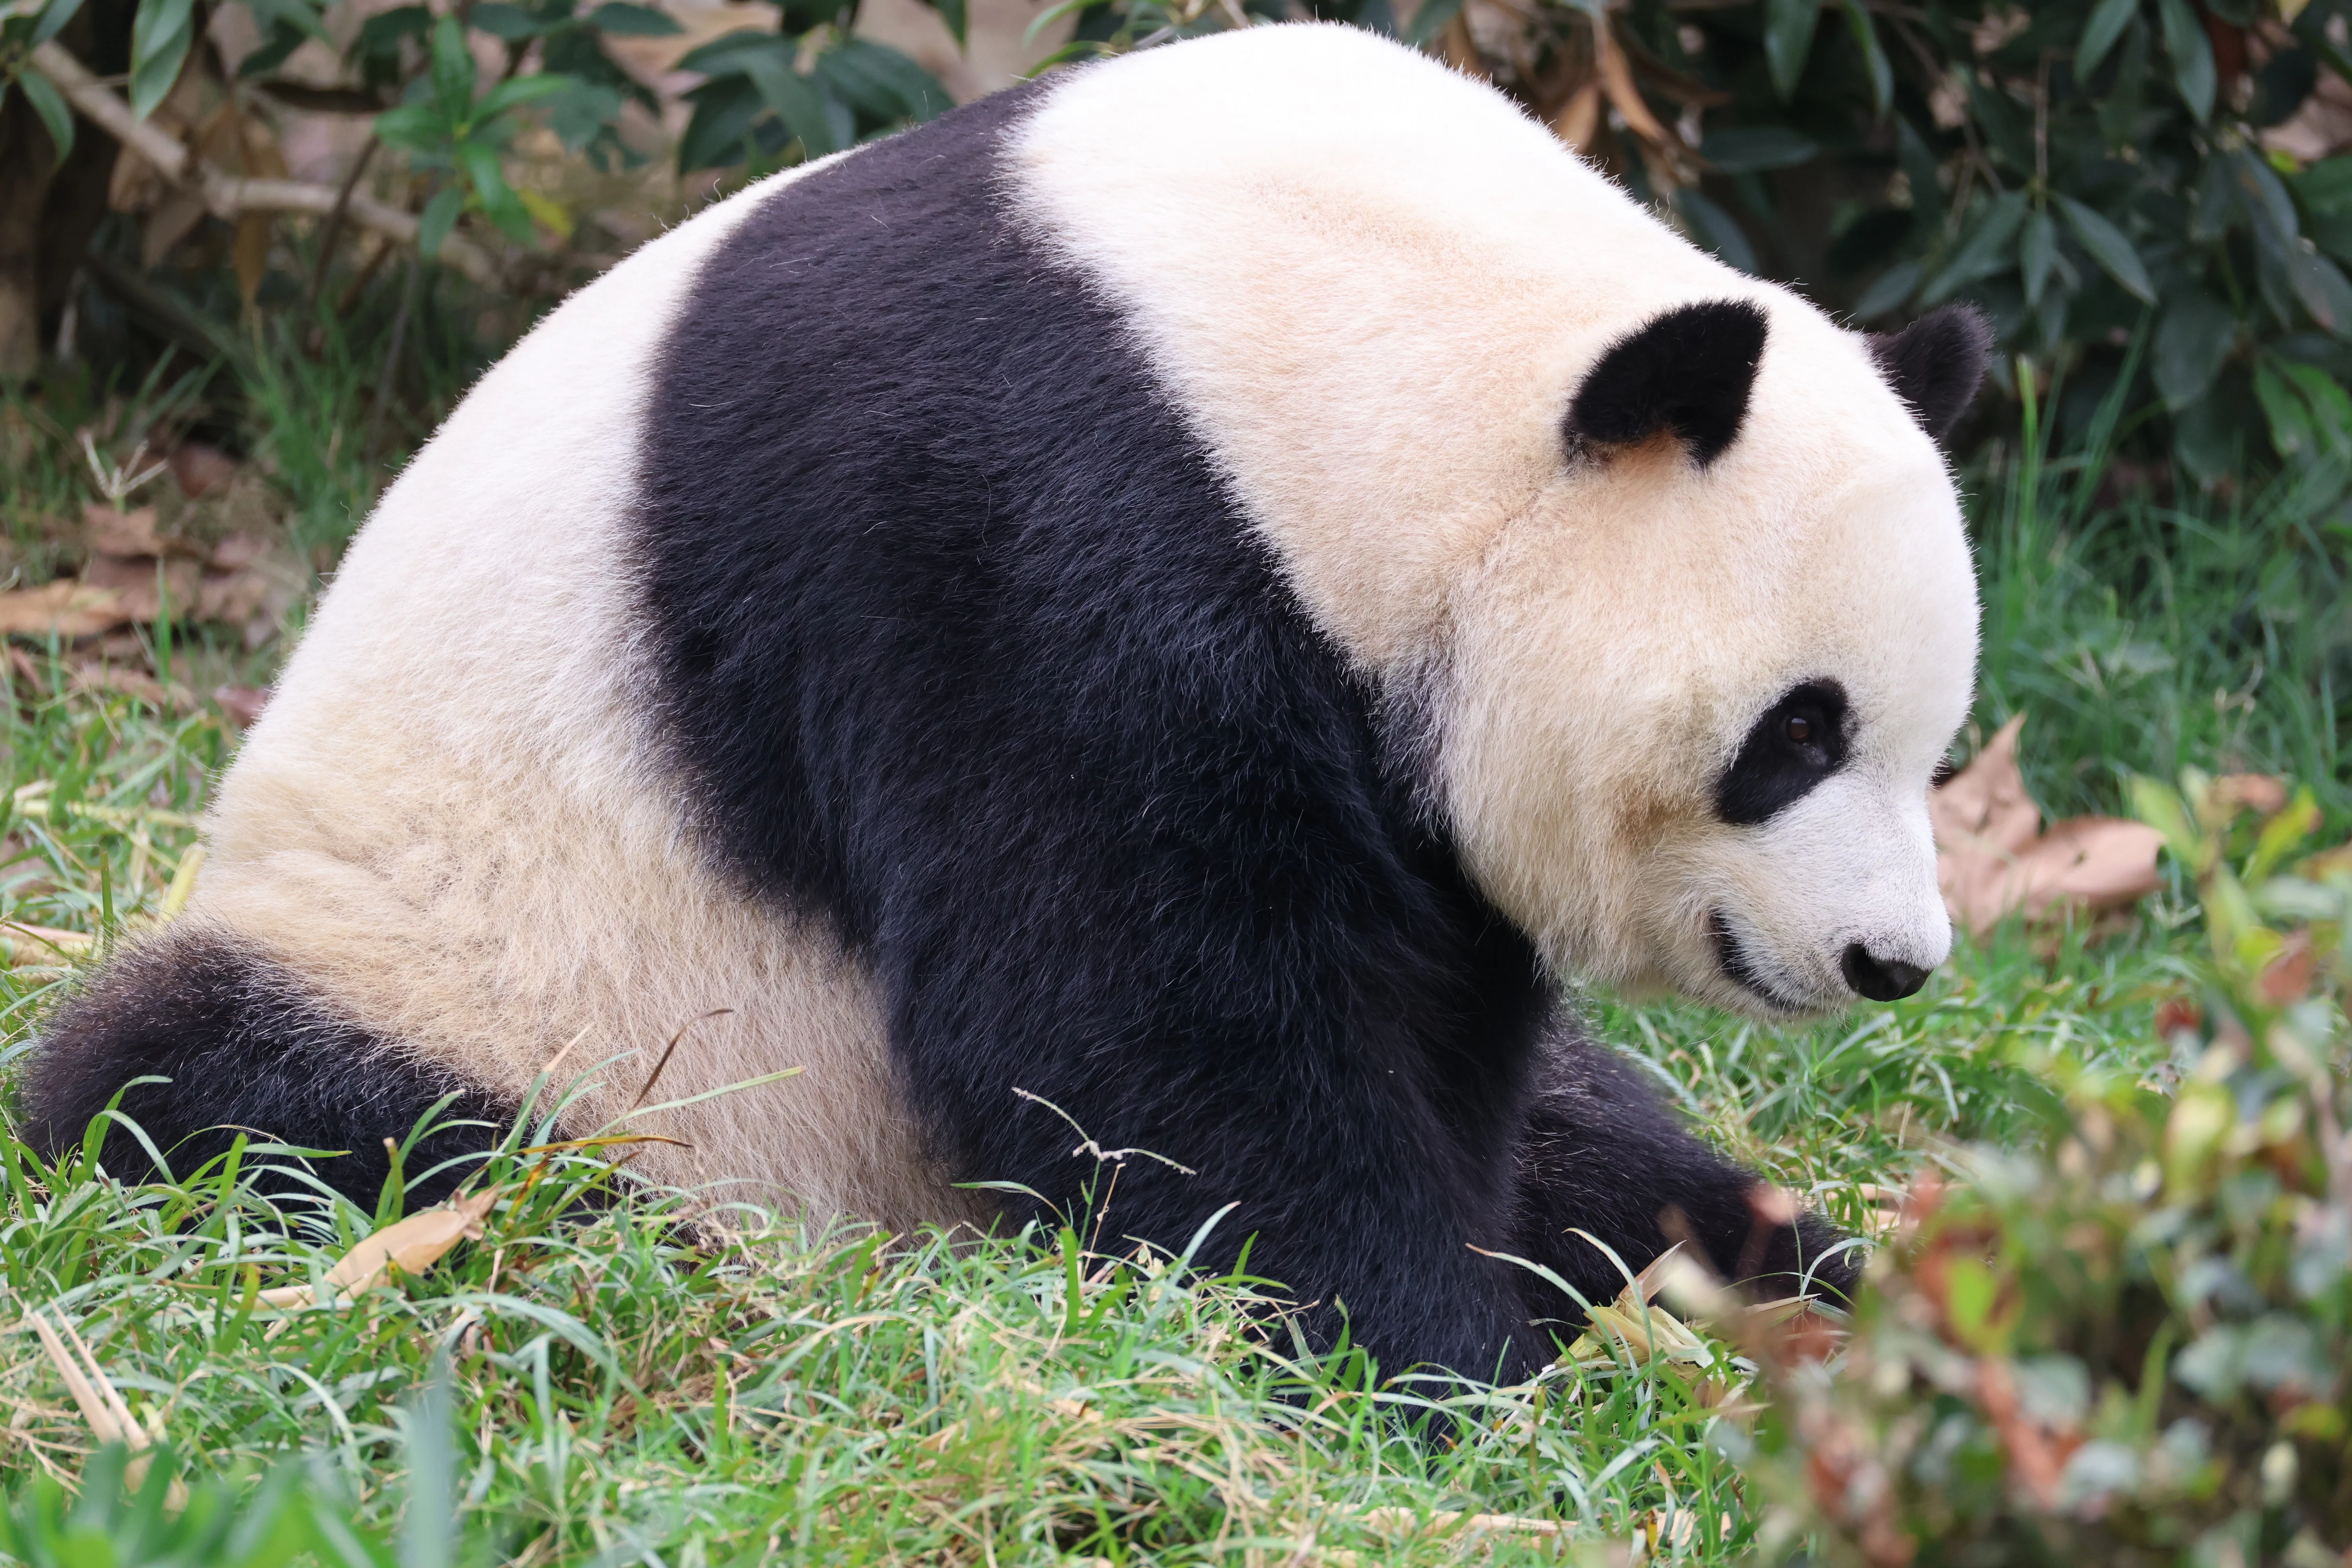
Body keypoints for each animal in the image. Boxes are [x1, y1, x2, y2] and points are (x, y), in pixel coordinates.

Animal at [23, 23, 1989, 1383]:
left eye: (1931, 745)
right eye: (1794, 735)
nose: (1891, 962)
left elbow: (1451, 1043)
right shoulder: (1023, 526)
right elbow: (1144, 1015)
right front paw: (1426, 1363)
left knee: (1616, 1135)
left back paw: (1830, 1288)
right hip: (519, 996)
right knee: (294, 1117)